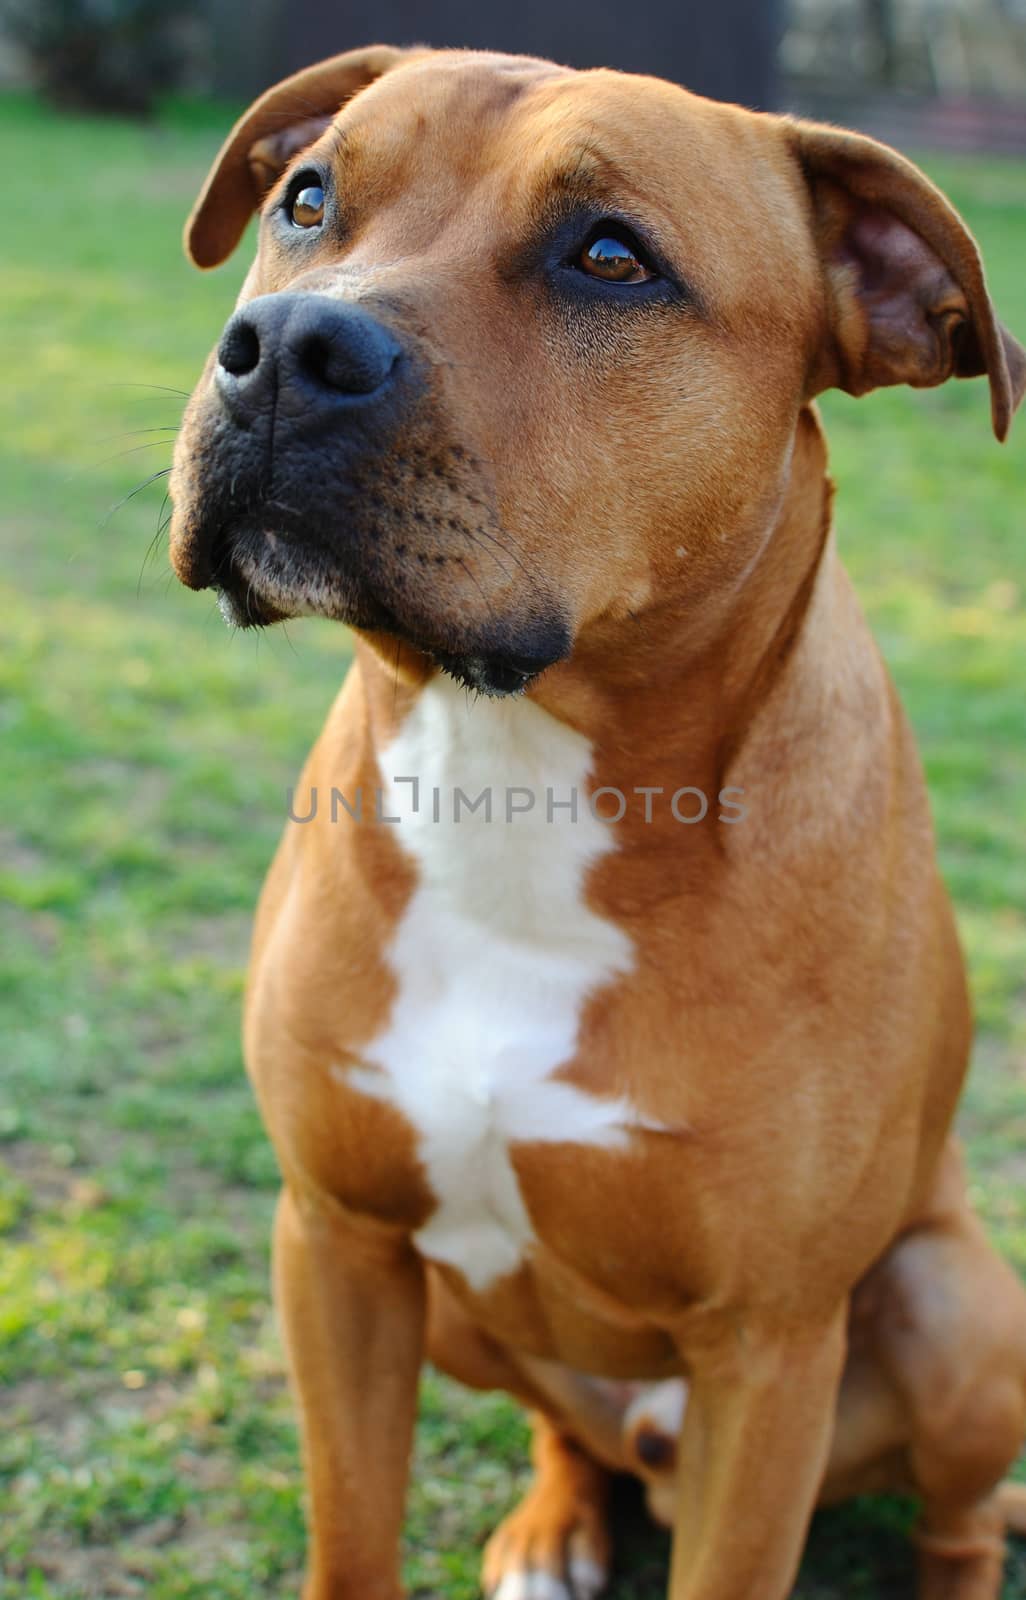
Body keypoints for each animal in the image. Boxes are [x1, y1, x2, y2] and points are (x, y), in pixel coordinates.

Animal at [168, 43, 1024, 1593]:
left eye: (612, 258)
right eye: (307, 198)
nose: (285, 347)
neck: (513, 776)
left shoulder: (768, 1354)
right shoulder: (334, 1243)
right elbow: (349, 1535)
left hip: (954, 1309)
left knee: (964, 1517)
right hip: (460, 1314)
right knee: (567, 1428)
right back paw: (552, 1524)